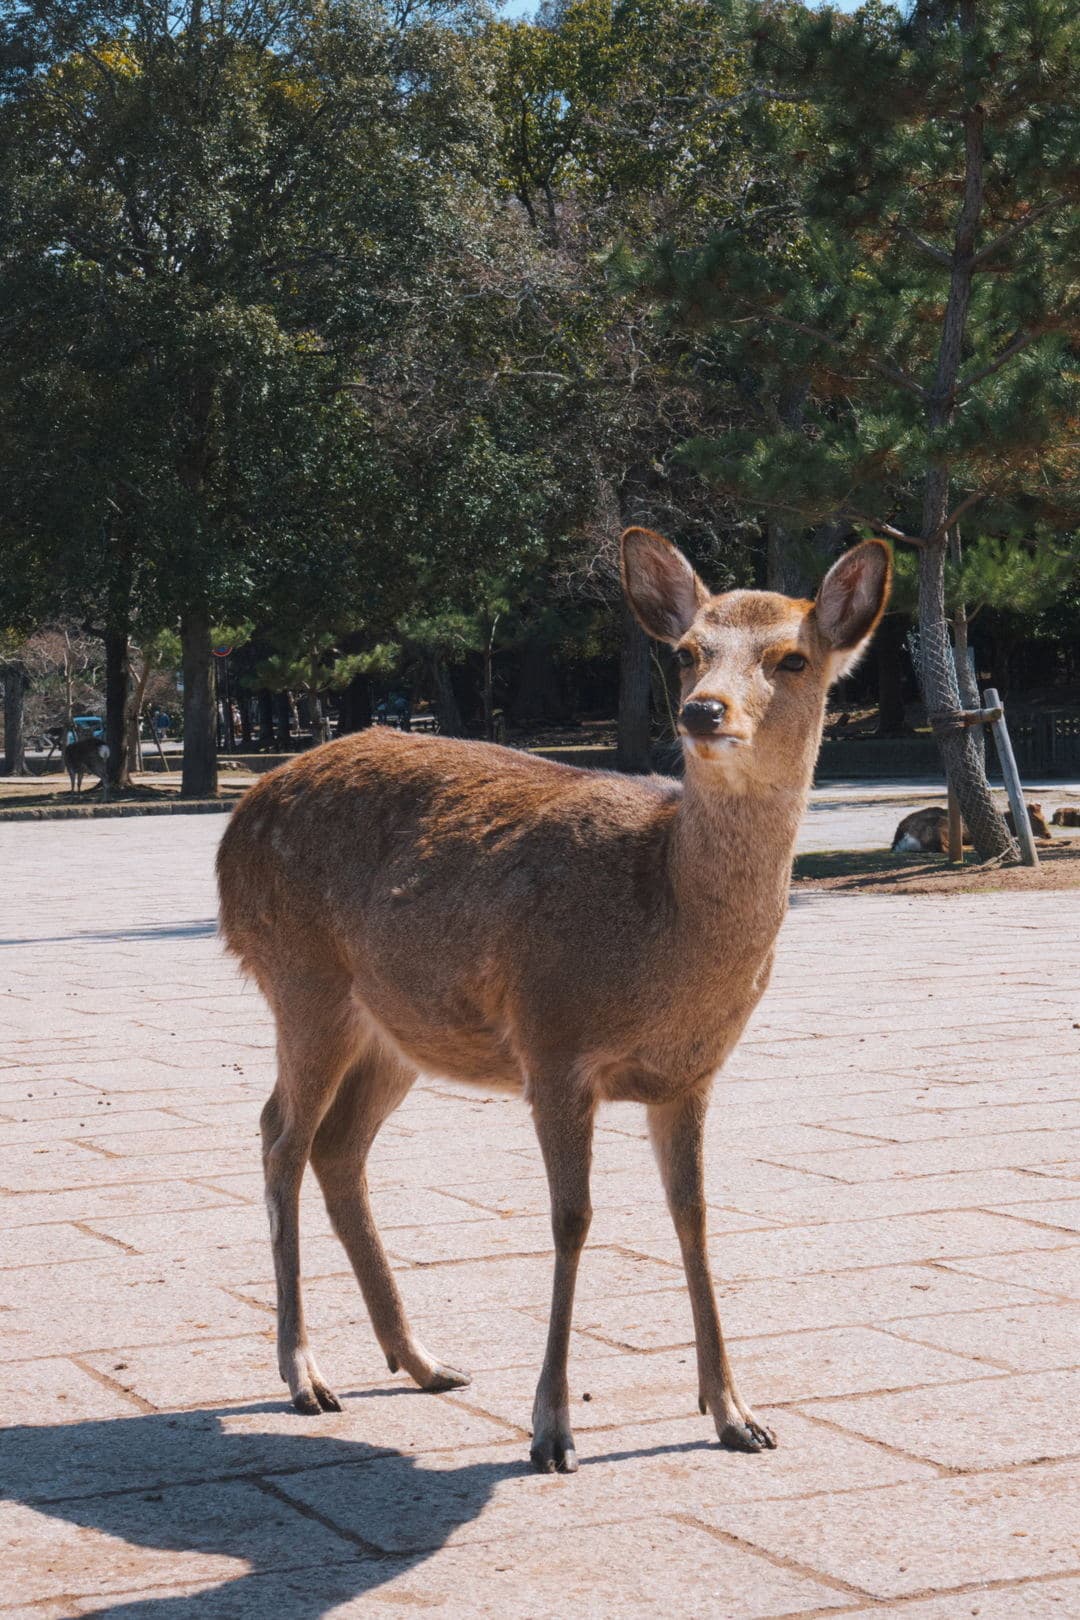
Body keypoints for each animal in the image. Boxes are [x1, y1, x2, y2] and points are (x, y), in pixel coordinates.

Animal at [216, 530, 891, 1472]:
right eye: (688, 652)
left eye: (793, 657)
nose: (703, 713)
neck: (663, 930)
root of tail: (233, 827)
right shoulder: (554, 1043)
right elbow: (573, 1218)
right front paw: (550, 1429)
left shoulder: (691, 1074)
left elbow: (695, 1216)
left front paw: (737, 1415)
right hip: (302, 978)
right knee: (279, 1134)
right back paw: (306, 1375)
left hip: (399, 1028)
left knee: (336, 1146)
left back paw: (422, 1360)